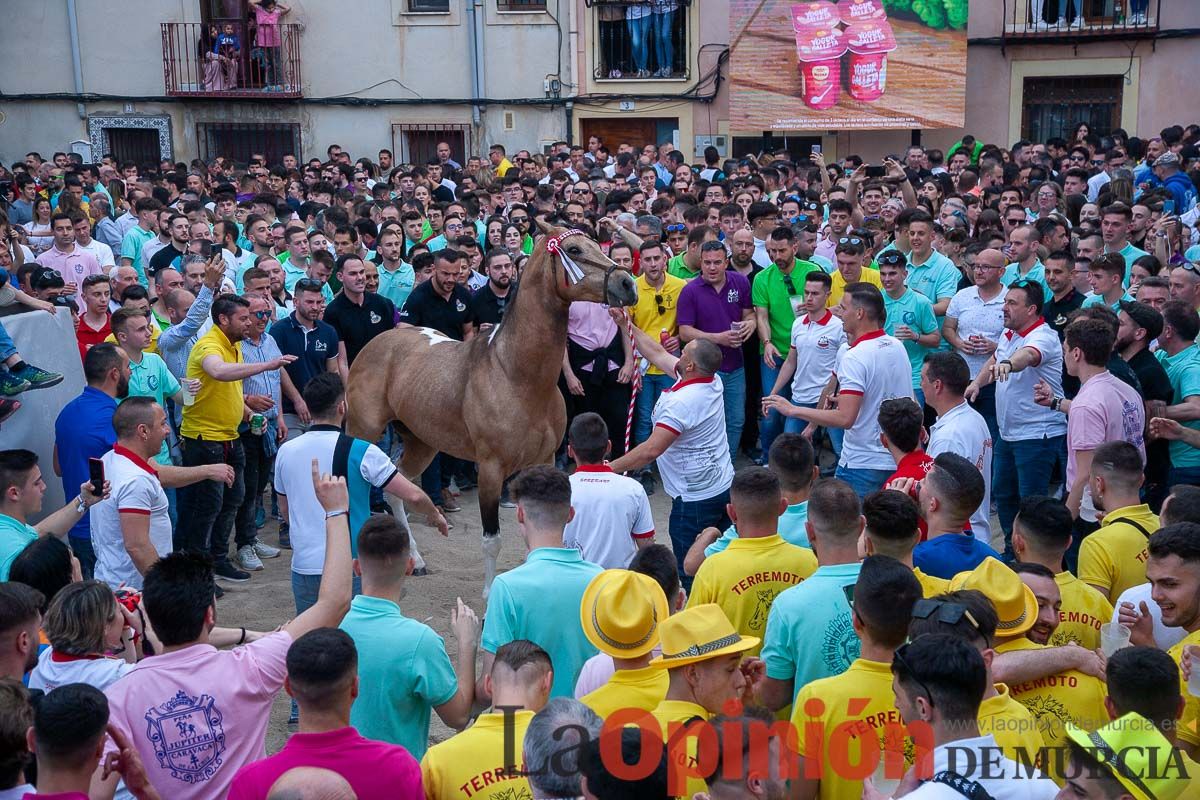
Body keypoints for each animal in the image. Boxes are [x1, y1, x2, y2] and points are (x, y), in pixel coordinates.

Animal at [345, 221, 638, 597]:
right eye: (574, 250)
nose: (627, 283)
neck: (516, 376)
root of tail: (379, 341)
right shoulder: (490, 470)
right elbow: (491, 540)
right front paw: (488, 595)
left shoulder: (544, 462)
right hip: (362, 433)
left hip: (422, 442)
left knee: (399, 485)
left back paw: (416, 561)